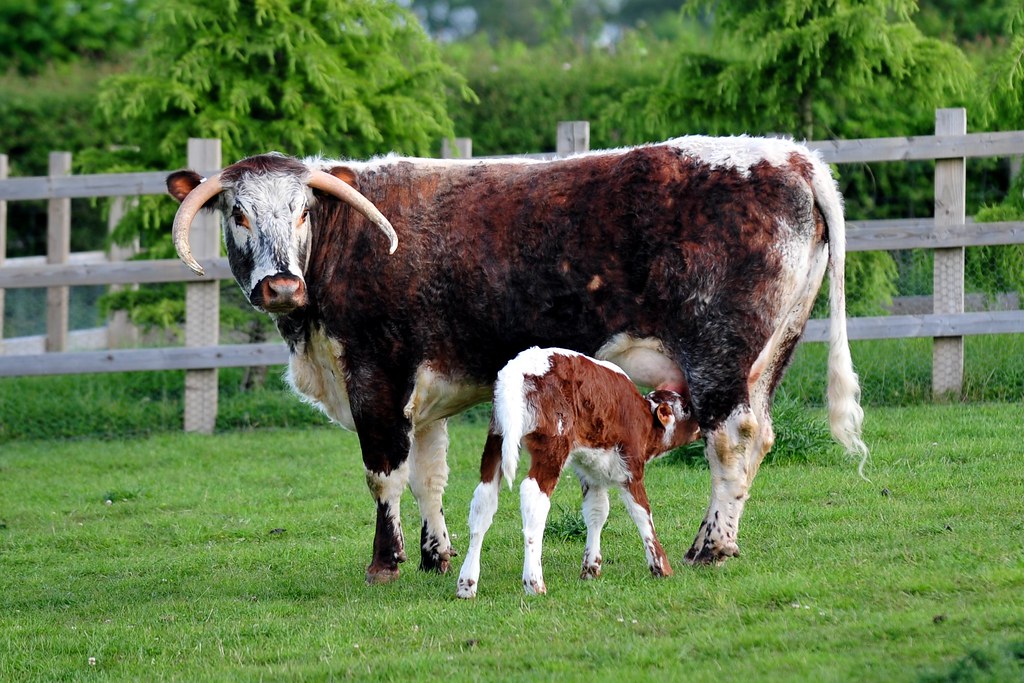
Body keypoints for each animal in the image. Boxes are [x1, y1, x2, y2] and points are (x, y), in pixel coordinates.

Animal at [455, 347, 702, 598]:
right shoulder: (631, 467)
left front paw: (590, 569)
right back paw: (534, 583)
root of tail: (520, 368)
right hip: (552, 445)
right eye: (686, 409)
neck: (643, 418)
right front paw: (661, 567)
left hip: (496, 440)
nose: (702, 422)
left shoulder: (591, 471)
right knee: (533, 499)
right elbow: (642, 513)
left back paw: (466, 584)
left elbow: (597, 511)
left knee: (483, 502)